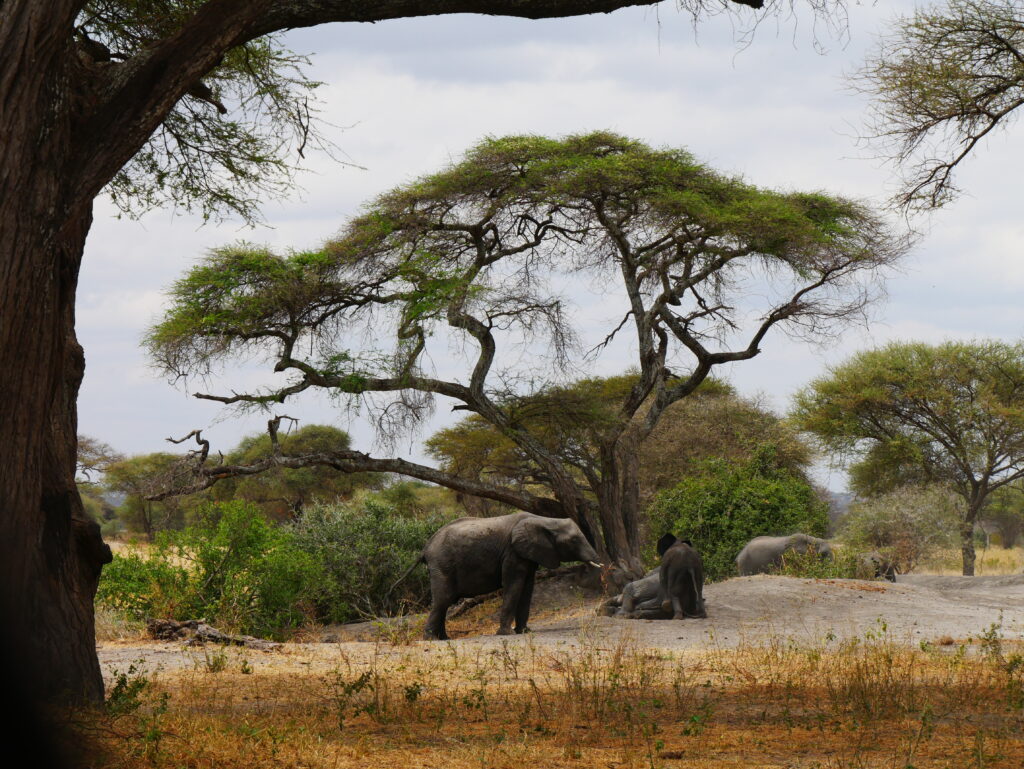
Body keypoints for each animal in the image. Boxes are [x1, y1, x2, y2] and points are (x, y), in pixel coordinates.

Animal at [395, 514, 602, 638]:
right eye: (574, 541)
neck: (544, 520)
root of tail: (425, 548)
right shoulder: (512, 553)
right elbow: (513, 585)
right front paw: (507, 634)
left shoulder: (528, 554)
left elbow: (527, 588)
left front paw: (524, 632)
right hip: (442, 564)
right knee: (442, 600)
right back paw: (432, 639)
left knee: (444, 602)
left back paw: (444, 639)